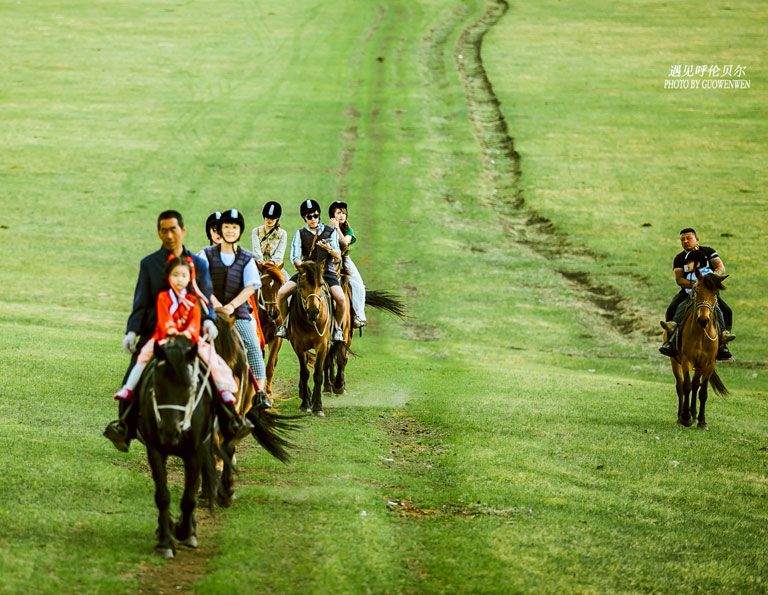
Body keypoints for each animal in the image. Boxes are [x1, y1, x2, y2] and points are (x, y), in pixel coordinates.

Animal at [136, 338, 216, 560]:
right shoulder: (155, 451)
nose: (170, 432)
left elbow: (189, 497)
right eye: (157, 385)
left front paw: (186, 532)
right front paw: (164, 541)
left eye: (189, 387)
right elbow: (162, 496)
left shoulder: (194, 453)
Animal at [286, 260, 332, 420]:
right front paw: (305, 405)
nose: (313, 311)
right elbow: (304, 373)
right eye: (302, 285)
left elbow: (318, 374)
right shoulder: (299, 346)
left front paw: (318, 407)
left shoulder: (322, 345)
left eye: (321, 284)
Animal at [664, 270, 732, 428]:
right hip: (675, 361)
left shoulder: (709, 363)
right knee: (680, 386)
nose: (703, 319)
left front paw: (702, 421)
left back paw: (694, 416)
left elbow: (703, 391)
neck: (701, 333)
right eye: (697, 291)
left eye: (715, 294)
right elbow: (686, 387)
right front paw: (685, 418)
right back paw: (681, 417)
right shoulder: (686, 360)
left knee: (696, 385)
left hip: (699, 365)